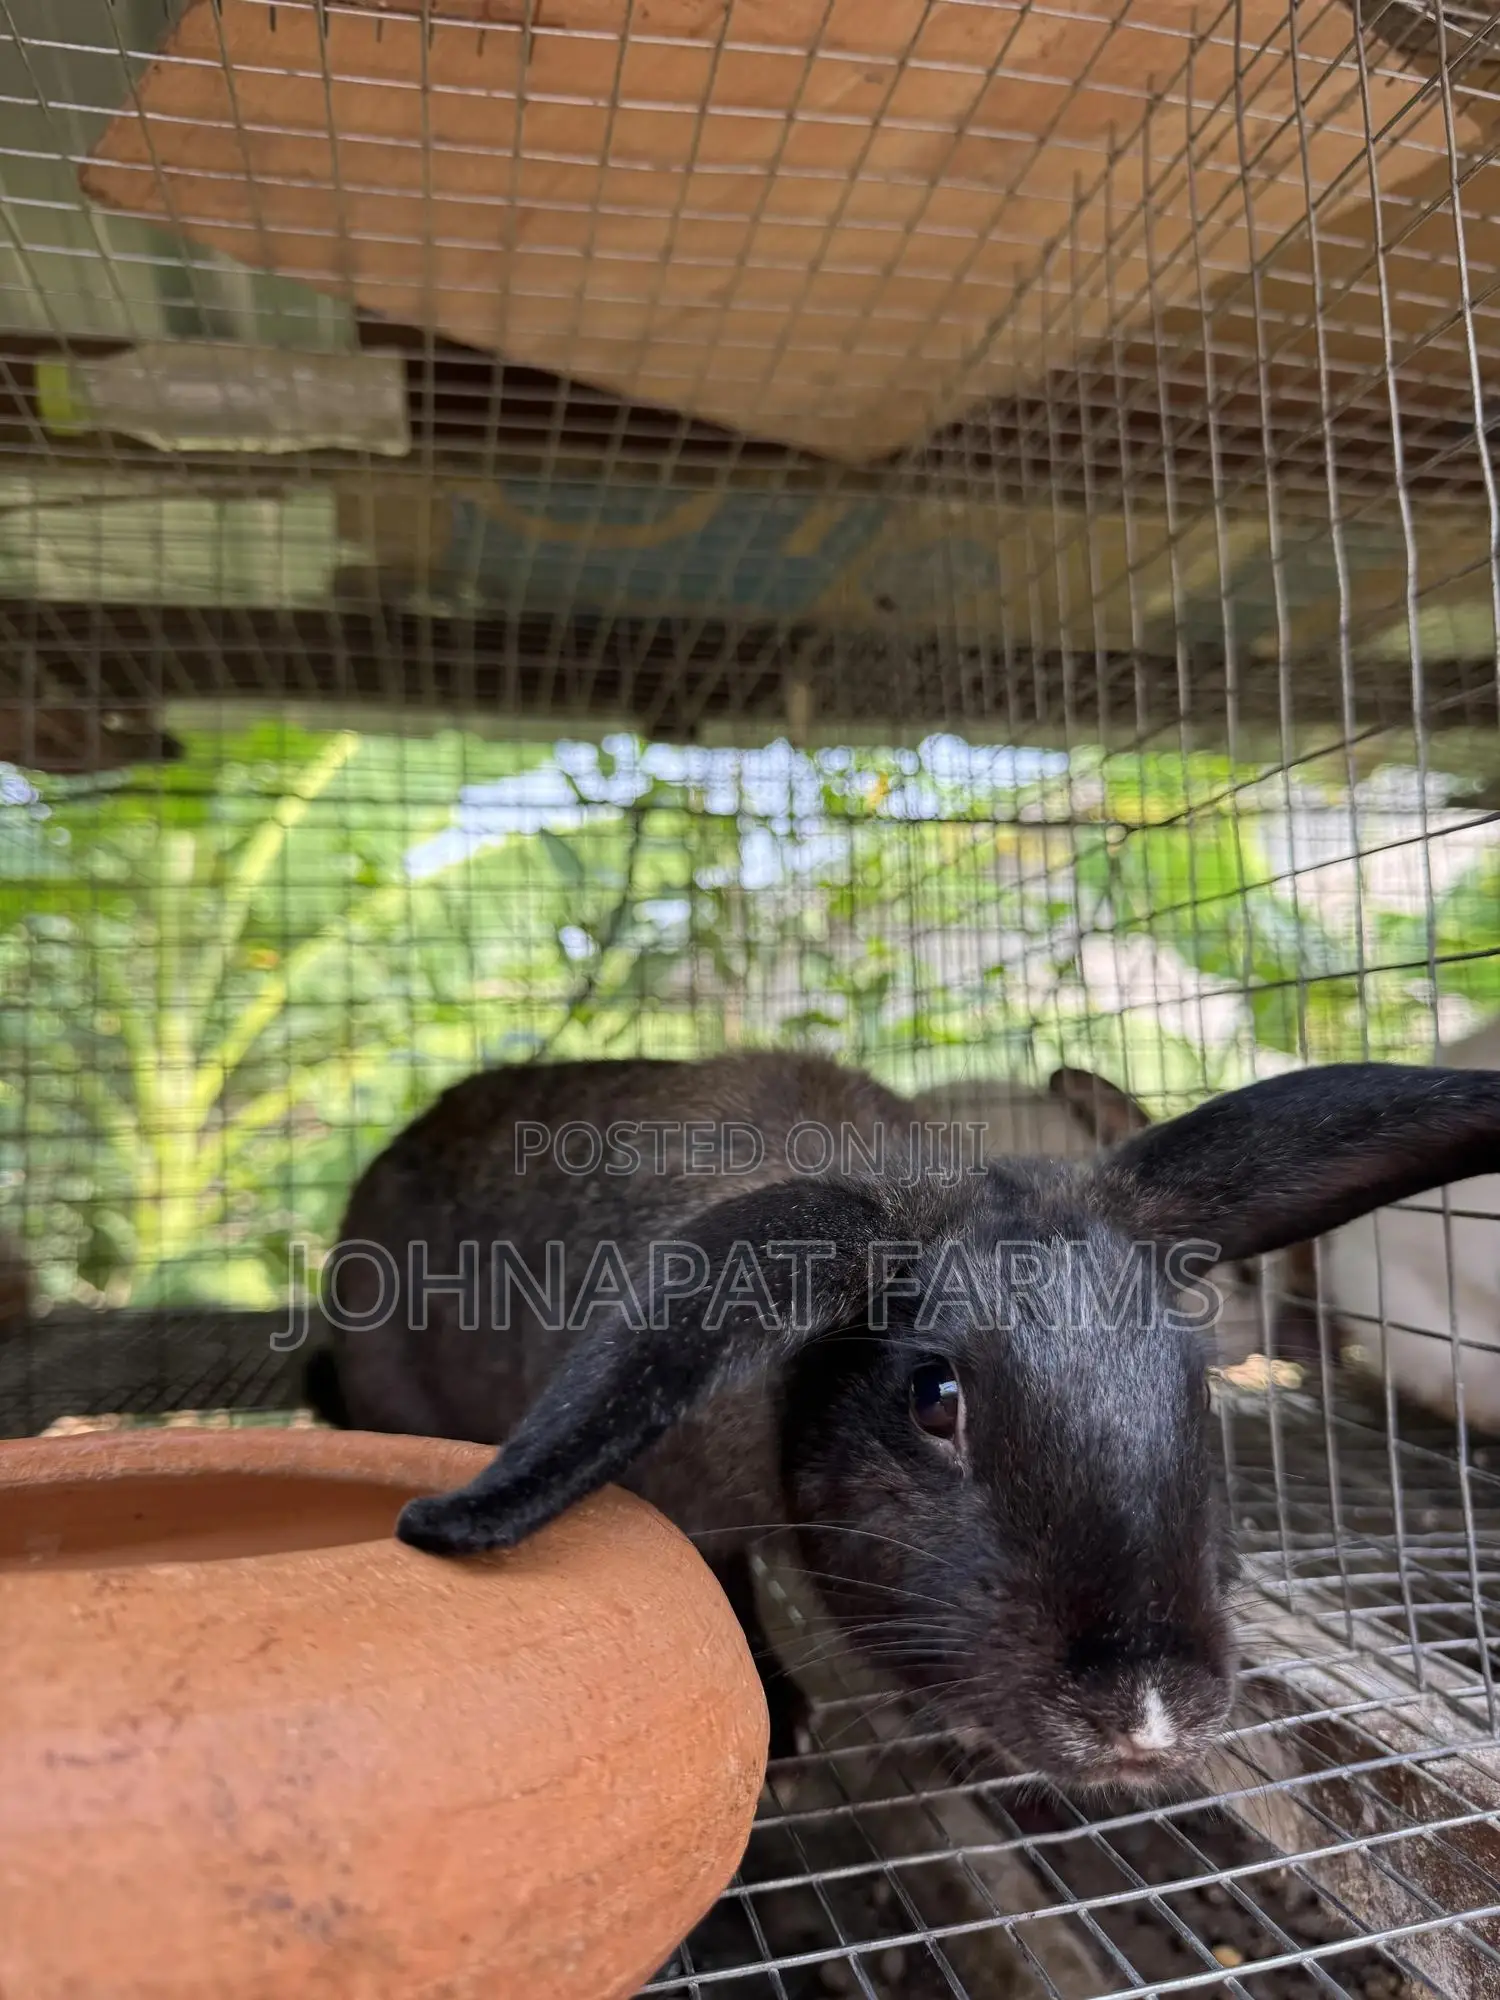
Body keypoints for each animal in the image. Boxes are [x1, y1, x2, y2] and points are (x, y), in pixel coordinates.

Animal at [307, 1051, 1500, 1787]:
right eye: (935, 1399)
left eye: (1192, 1382)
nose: (1150, 1720)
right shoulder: (695, 1519)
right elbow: (726, 1589)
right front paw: (784, 1718)